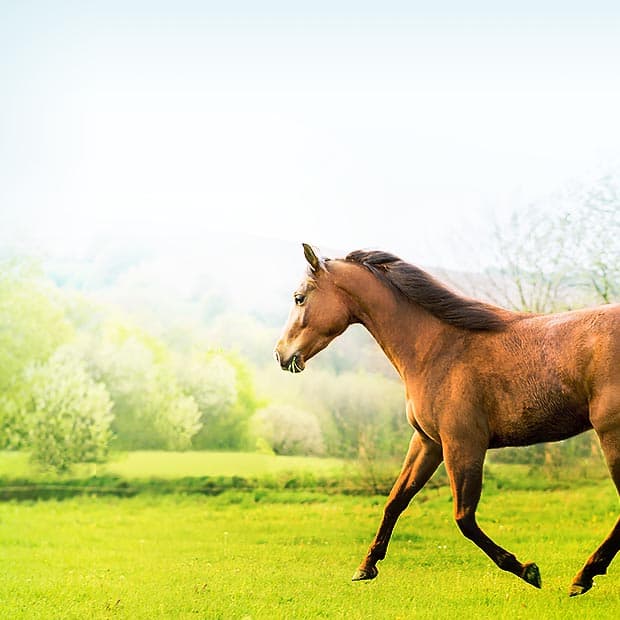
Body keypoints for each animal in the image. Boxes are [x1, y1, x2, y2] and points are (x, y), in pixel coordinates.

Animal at [274, 242, 616, 596]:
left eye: (299, 297)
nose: (281, 354)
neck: (438, 348)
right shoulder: (429, 442)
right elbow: (395, 500)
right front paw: (366, 567)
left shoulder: (462, 444)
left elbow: (463, 518)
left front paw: (526, 569)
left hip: (611, 434)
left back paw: (584, 576)